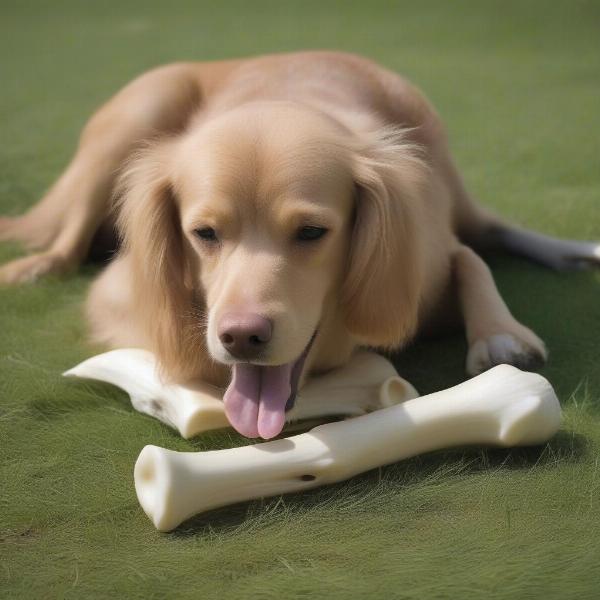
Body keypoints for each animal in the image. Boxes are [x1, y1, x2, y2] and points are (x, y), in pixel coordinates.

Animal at [2, 50, 596, 436]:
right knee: (65, 242)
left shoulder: (420, 264)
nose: (241, 337)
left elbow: (469, 261)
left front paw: (499, 334)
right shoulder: (120, 296)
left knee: (488, 228)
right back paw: (32, 268)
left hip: (445, 164)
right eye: (204, 233)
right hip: (140, 110)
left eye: (312, 232)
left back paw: (574, 252)